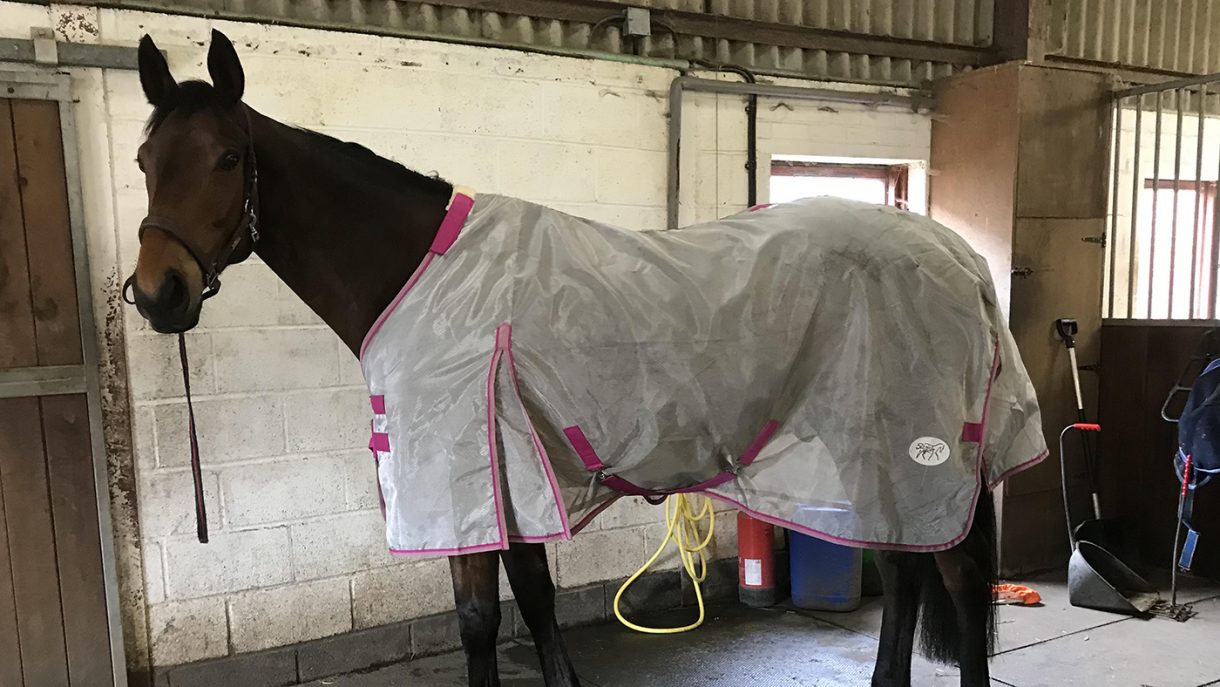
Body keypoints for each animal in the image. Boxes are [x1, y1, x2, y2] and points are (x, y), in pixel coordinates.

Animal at [126, 30, 1045, 687]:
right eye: (144, 161)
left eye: (229, 157)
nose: (160, 293)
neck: (423, 273)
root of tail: (956, 254)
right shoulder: (503, 475)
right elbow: (521, 607)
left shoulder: (465, 473)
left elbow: (489, 620)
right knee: (904, 571)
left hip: (913, 447)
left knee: (957, 578)